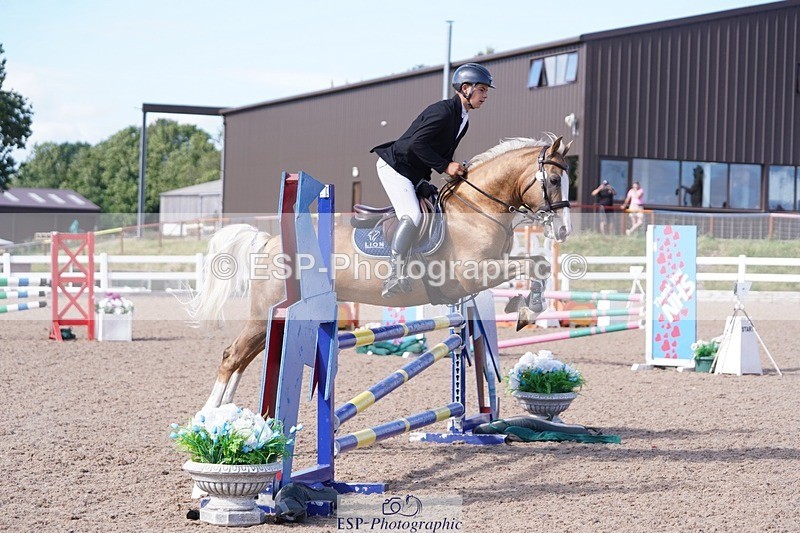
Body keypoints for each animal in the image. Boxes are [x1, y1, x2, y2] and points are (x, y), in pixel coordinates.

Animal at [189, 135, 574, 408]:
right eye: (554, 179)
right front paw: (525, 310)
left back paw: (227, 413)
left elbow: (536, 264)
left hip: (275, 318)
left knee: (244, 357)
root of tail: (269, 240)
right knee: (232, 356)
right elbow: (535, 264)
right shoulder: (474, 273)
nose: (564, 231)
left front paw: (524, 308)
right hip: (269, 313)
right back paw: (210, 416)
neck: (477, 208)